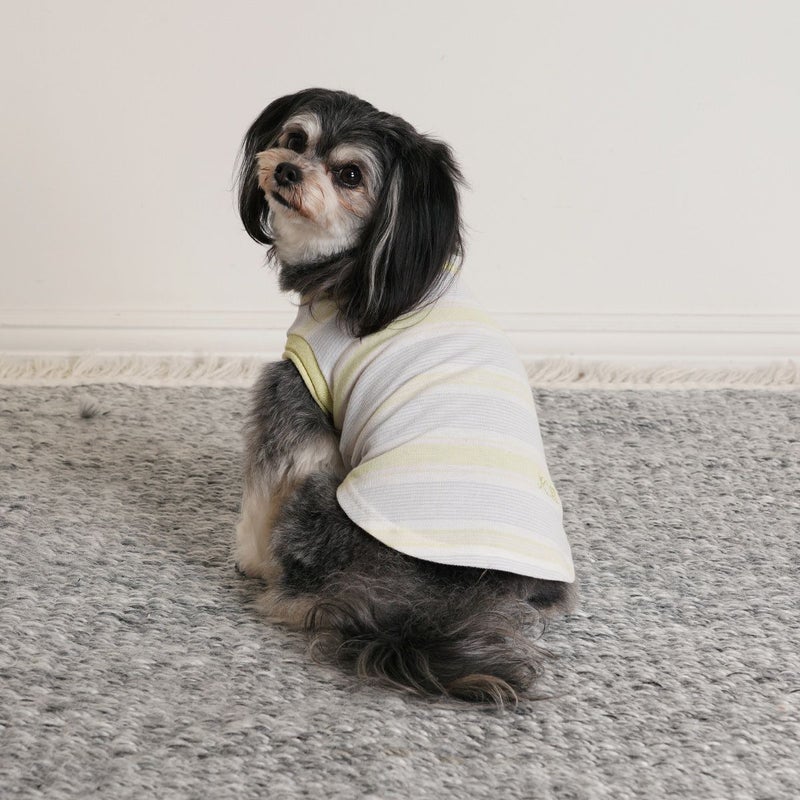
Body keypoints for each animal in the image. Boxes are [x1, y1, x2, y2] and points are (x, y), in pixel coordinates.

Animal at [234, 88, 575, 705]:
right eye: (295, 139)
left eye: (349, 175)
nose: (288, 169)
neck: (360, 273)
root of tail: (439, 596)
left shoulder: (295, 398)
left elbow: (262, 491)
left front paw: (249, 556)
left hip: (323, 505)